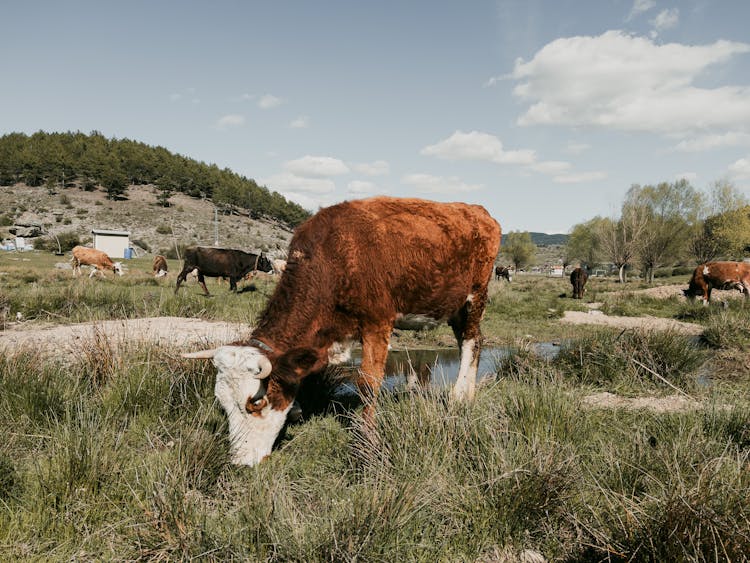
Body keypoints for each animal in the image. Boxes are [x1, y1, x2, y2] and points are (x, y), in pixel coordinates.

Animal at [182, 198, 502, 468]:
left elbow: (368, 383)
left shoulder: (377, 322)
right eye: (222, 404)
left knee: (471, 342)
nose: (239, 462)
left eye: (256, 402)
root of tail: (476, 210)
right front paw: (297, 408)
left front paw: (367, 440)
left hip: (475, 297)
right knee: (469, 341)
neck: (334, 258)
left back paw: (460, 396)